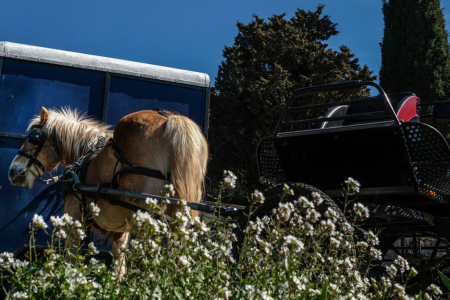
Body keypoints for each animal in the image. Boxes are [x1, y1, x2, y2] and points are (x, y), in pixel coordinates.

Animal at [8, 106, 209, 276]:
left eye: (33, 137)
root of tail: (169, 119)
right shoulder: (120, 233)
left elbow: (71, 264)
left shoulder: (74, 219)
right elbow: (118, 272)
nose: (12, 171)